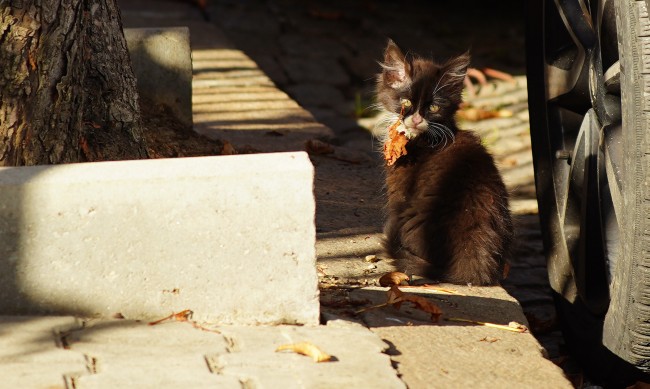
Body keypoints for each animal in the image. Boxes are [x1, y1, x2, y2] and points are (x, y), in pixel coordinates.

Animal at [374, 40, 512, 284]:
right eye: (406, 101)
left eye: (434, 108)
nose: (416, 119)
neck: (421, 139)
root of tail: (470, 270)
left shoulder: (399, 189)